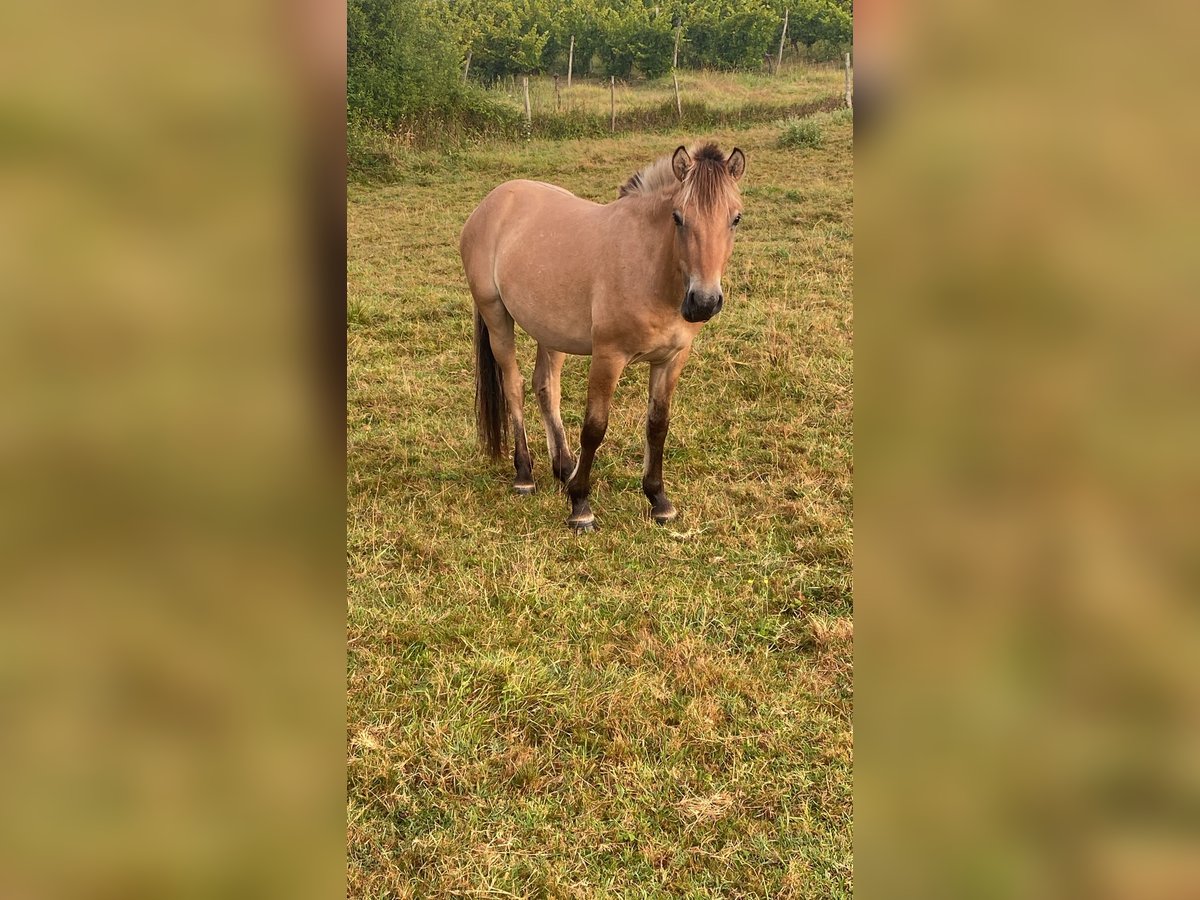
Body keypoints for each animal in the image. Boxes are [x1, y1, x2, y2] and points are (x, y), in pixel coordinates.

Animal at [456, 143, 744, 532]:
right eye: (678, 217)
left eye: (736, 219)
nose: (704, 302)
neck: (649, 264)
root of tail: (492, 202)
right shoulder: (608, 357)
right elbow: (594, 427)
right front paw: (580, 505)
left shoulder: (672, 359)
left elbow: (658, 425)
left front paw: (659, 501)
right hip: (497, 317)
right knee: (514, 386)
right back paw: (525, 474)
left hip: (551, 332)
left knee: (546, 386)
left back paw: (564, 467)